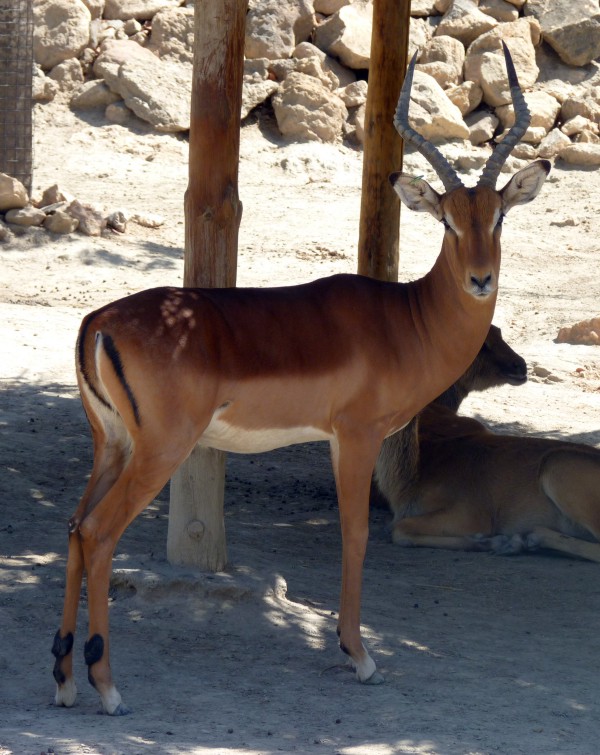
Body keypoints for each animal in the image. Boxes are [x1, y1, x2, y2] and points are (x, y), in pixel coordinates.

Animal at [52, 43, 550, 715]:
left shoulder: (340, 440)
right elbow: (357, 534)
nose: (479, 279)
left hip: (113, 447)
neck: (405, 320)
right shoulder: (358, 436)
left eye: (498, 217)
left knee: (76, 528)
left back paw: (65, 681)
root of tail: (98, 322)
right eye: (446, 220)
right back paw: (108, 689)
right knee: (100, 534)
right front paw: (361, 657)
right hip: (159, 451)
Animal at [376, 327, 600, 563]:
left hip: (558, 468)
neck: (411, 480)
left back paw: (528, 538)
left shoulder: (471, 512)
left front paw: (498, 542)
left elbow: (400, 530)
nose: (520, 366)